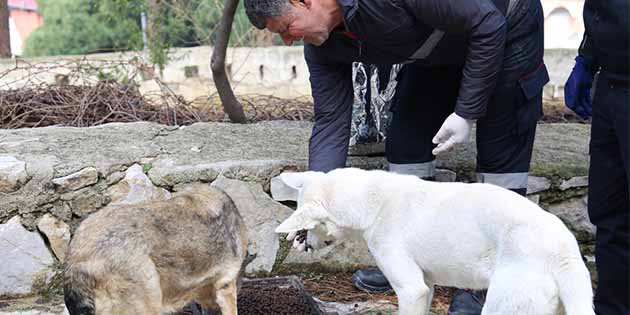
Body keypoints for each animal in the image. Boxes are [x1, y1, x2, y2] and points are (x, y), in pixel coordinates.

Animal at [272, 169, 596, 315]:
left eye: (307, 224)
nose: (302, 244)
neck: (371, 200)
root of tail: (564, 253)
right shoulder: (425, 287)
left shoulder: (410, 289)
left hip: (504, 306)